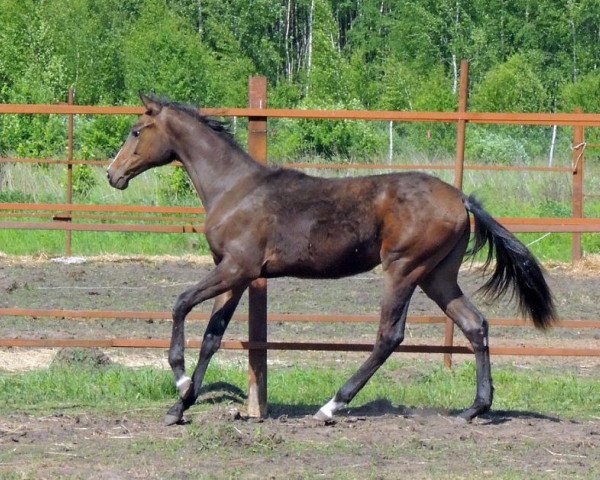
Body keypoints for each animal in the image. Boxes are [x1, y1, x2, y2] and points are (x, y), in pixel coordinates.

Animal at [105, 94, 556, 424]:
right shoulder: (236, 275)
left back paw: (331, 406)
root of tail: (460, 197)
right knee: (475, 324)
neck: (234, 189)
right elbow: (213, 336)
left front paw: (180, 381)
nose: (113, 175)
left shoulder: (236, 267)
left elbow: (180, 303)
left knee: (389, 336)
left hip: (404, 269)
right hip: (438, 276)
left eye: (135, 131)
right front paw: (180, 407)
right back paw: (475, 408)